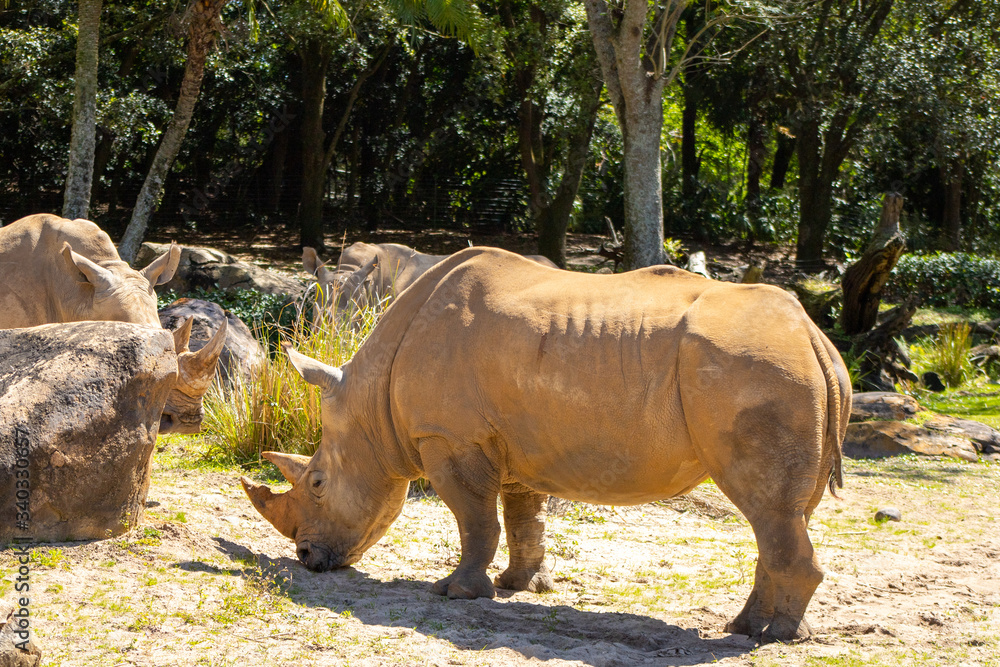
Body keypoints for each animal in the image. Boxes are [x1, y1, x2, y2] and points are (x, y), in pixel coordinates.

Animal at [243, 247, 850, 643]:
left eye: (317, 483)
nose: (306, 560)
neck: (371, 404)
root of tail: (814, 337)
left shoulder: (450, 436)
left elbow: (474, 518)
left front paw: (456, 593)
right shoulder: (512, 440)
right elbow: (521, 515)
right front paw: (522, 585)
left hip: (759, 371)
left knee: (767, 509)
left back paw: (773, 636)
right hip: (786, 374)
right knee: (783, 515)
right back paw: (746, 627)